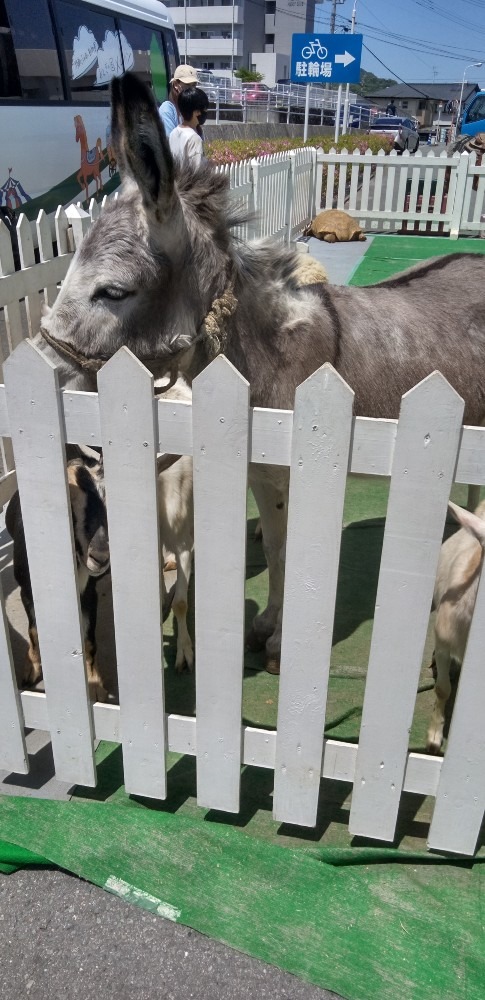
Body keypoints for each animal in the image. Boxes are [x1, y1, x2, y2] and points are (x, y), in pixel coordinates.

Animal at [6, 446, 108, 704]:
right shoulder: (26, 590)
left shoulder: (89, 594)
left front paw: (95, 685)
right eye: (68, 508)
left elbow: (89, 641)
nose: (100, 557)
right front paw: (32, 668)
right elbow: (33, 630)